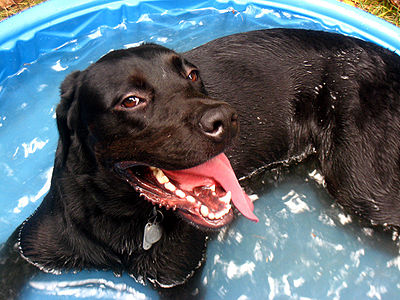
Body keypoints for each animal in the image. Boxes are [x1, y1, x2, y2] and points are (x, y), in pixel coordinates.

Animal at [0, 27, 400, 298]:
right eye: (131, 100)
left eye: (192, 75)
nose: (227, 116)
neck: (119, 218)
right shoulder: (25, 248)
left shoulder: (179, 275)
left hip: (363, 185)